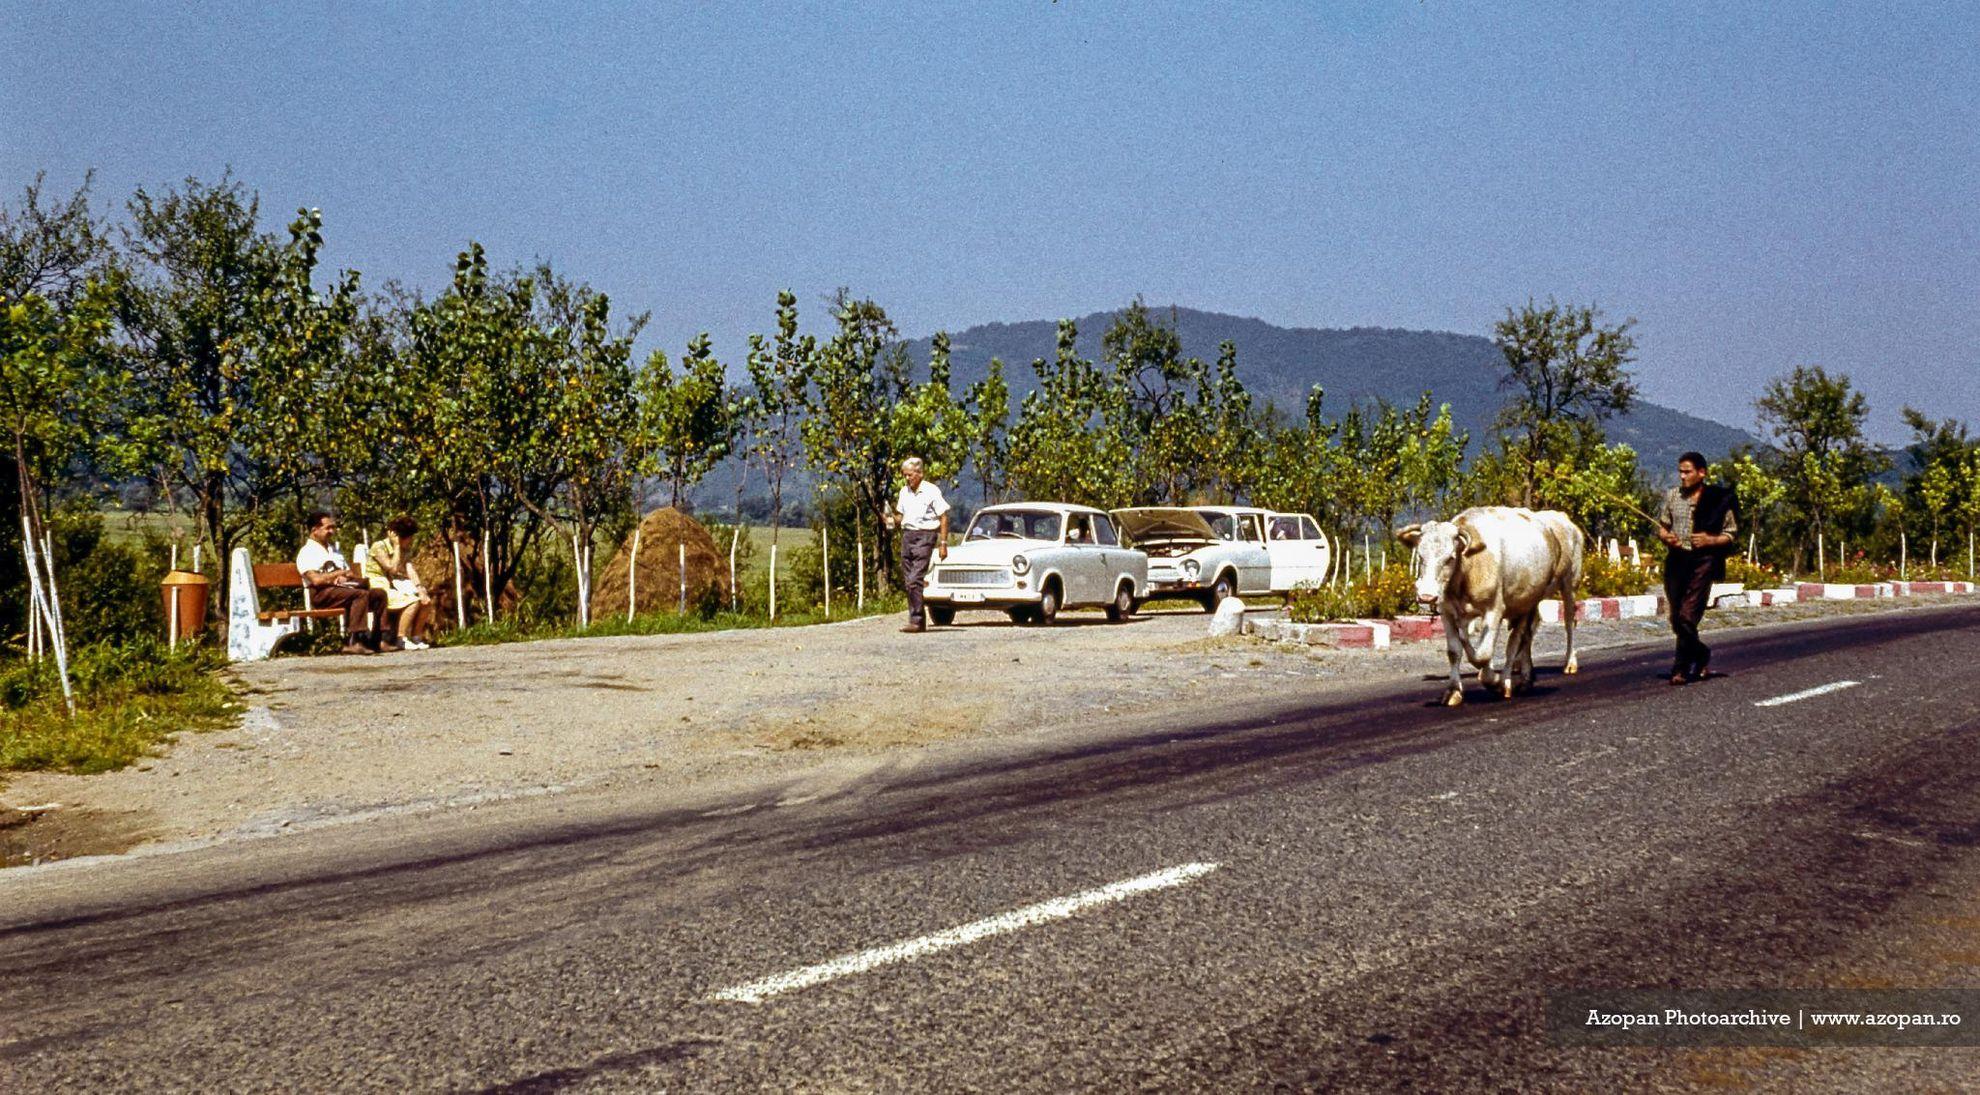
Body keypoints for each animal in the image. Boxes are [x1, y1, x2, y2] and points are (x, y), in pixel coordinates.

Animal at [1401, 506, 1584, 704]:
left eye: (1450, 558)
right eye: (1420, 556)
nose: (1426, 596)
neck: (1468, 569)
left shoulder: (1494, 610)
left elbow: (1482, 655)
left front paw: (1494, 680)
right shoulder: (1447, 612)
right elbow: (1455, 651)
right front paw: (1453, 691)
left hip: (1568, 585)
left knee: (1560, 626)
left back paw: (1562, 665)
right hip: (1528, 603)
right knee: (1525, 636)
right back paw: (1525, 676)